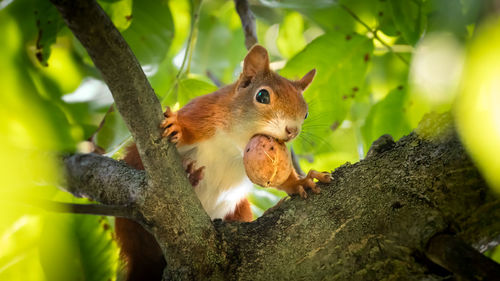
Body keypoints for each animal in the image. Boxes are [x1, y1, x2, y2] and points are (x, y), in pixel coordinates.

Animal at [115, 46, 330, 280]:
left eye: (306, 112)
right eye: (262, 96)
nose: (293, 131)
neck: (235, 144)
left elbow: (284, 179)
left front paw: (300, 182)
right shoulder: (201, 111)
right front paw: (178, 129)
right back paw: (190, 174)